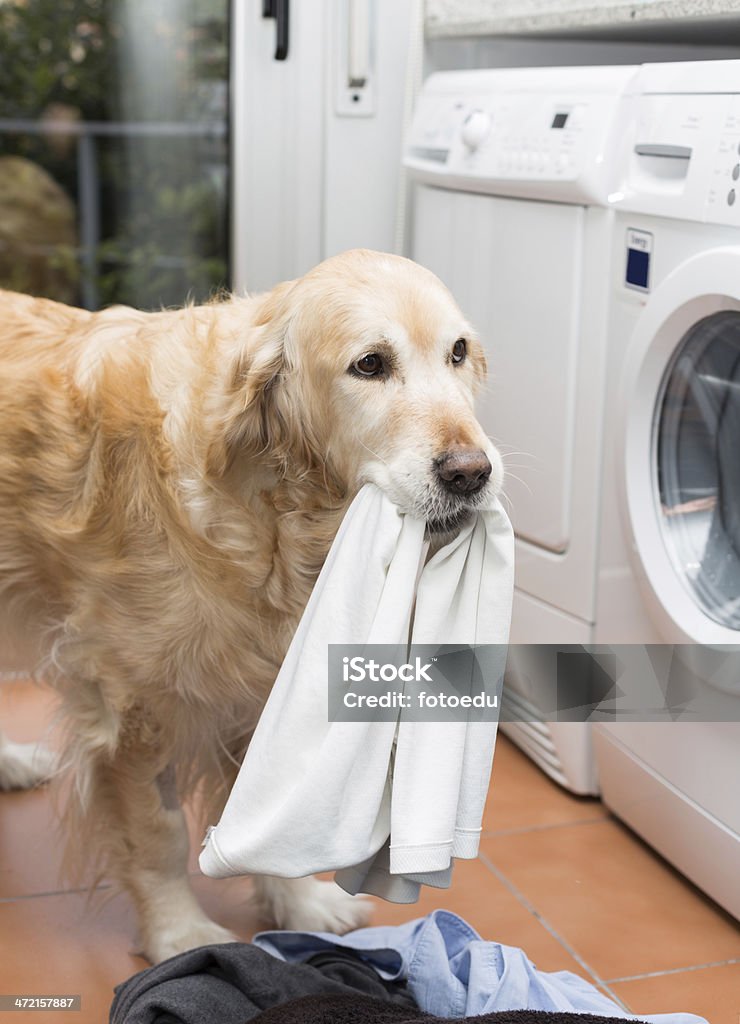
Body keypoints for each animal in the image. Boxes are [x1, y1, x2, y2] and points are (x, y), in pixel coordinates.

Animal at [0, 247, 503, 958]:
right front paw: (180, 935)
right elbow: (159, 836)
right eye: (370, 364)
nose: (470, 473)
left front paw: (300, 906)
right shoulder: (133, 707)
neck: (271, 515)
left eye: (457, 352)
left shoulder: (264, 689)